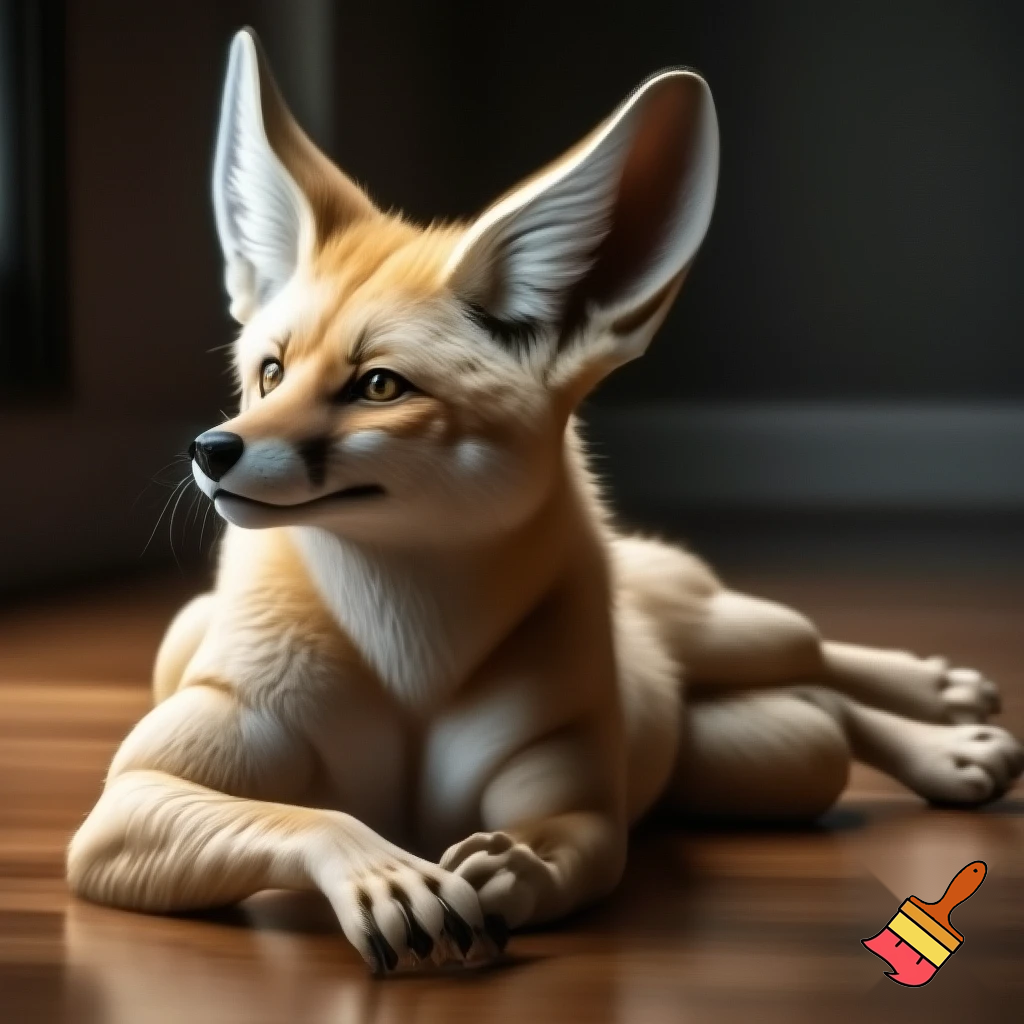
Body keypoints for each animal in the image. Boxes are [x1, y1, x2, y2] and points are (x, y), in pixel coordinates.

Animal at [67, 28, 1024, 974]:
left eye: (377, 386)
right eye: (269, 373)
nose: (211, 450)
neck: (410, 662)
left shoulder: (582, 808)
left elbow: (557, 847)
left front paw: (504, 871)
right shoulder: (123, 807)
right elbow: (316, 817)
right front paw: (387, 873)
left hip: (740, 654)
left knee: (817, 655)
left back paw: (945, 714)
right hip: (771, 757)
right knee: (820, 710)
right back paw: (948, 742)